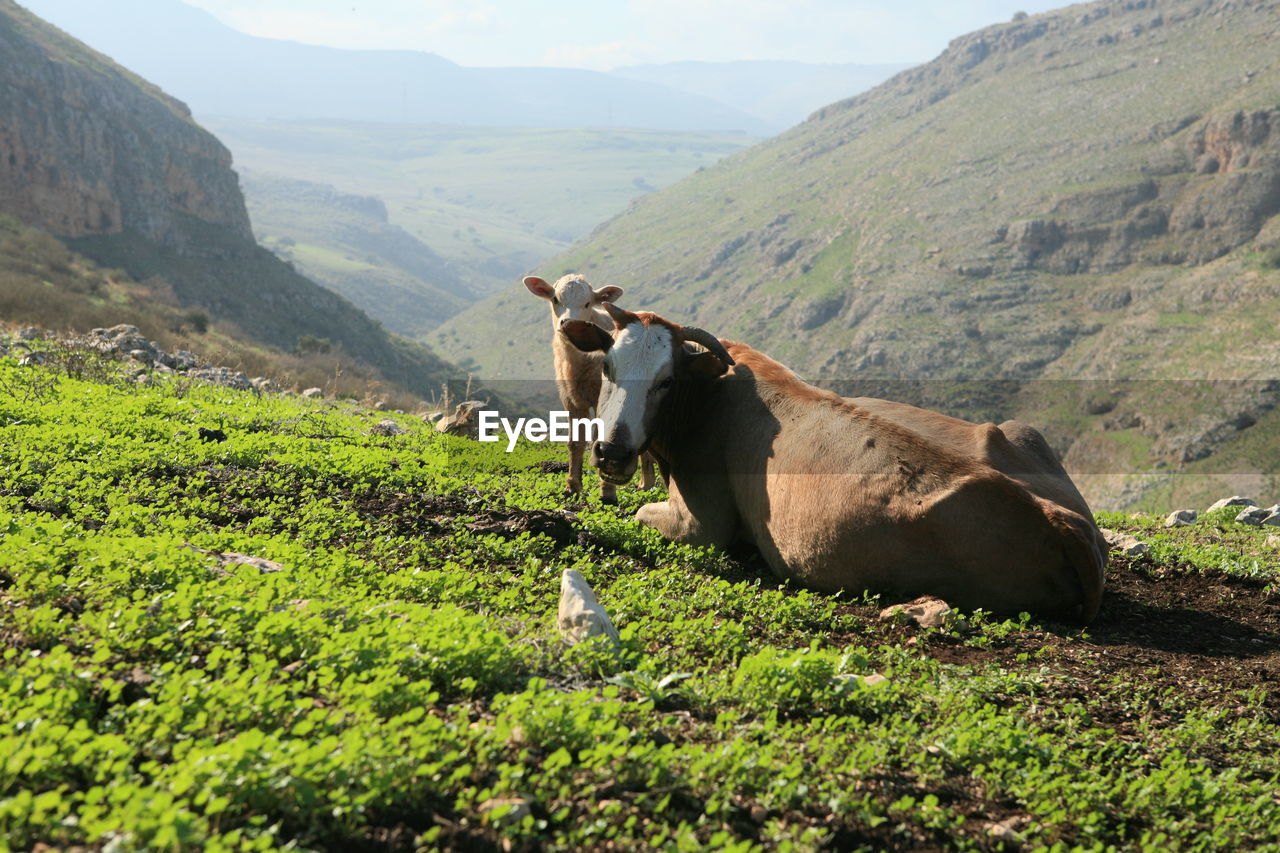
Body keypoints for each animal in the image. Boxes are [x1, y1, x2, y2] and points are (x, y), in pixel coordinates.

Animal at [565, 302, 1105, 622]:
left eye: (665, 381)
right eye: (608, 366)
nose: (611, 451)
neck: (709, 393)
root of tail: (1059, 522)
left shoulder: (702, 522)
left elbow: (643, 513)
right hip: (1021, 430)